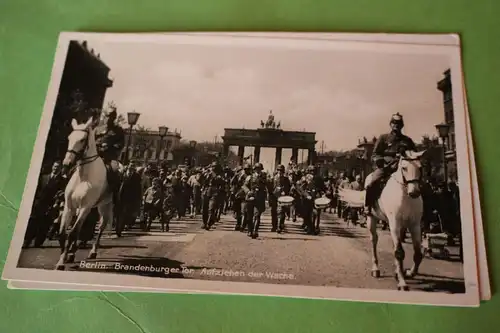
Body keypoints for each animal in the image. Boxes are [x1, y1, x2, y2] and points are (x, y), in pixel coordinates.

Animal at [55, 117, 114, 270]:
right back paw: (72, 252)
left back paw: (92, 251)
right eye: (69, 137)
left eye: (82, 139)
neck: (83, 177)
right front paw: (63, 258)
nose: (66, 164)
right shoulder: (69, 207)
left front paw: (62, 262)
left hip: (104, 206)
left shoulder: (84, 207)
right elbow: (63, 233)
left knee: (101, 227)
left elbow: (72, 233)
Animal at [336, 150, 426, 290]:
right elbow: (399, 252)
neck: (405, 195)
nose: (414, 192)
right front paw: (402, 282)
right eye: (404, 168)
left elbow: (417, 253)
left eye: (420, 167)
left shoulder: (415, 225)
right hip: (371, 219)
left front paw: (409, 273)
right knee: (374, 241)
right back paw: (376, 269)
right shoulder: (395, 223)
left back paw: (397, 271)